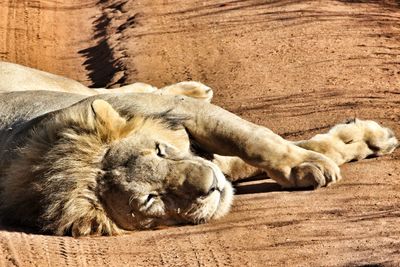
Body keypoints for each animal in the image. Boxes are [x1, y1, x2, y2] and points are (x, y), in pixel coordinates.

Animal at [0, 62, 396, 237]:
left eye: (159, 151)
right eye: (150, 199)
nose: (211, 185)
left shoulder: (182, 114)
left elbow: (257, 139)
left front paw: (360, 142)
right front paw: (345, 147)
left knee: (116, 88)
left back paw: (193, 87)